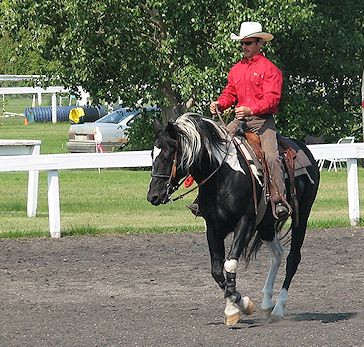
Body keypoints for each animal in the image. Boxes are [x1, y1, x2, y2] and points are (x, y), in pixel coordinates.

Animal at [146, 114, 320, 326]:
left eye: (167, 156)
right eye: (152, 155)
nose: (153, 196)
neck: (222, 176)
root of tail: (303, 148)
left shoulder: (245, 223)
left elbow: (229, 264)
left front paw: (238, 306)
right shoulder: (213, 227)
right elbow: (217, 270)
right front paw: (236, 306)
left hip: (301, 216)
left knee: (293, 258)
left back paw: (278, 309)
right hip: (266, 225)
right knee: (277, 254)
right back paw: (267, 303)